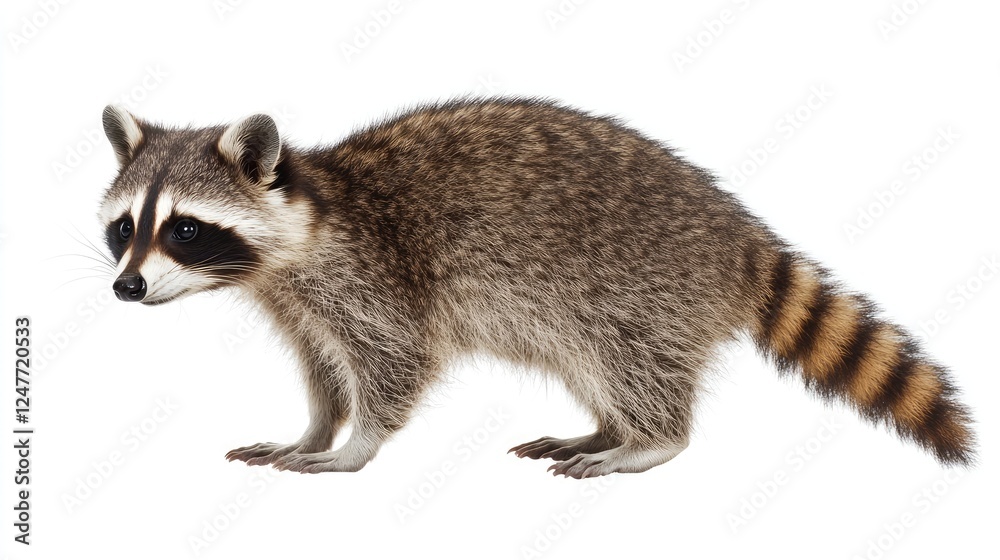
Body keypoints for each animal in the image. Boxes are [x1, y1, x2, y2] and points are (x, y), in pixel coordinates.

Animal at [98, 98, 975, 478]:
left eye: (184, 229)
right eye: (123, 228)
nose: (126, 288)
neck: (305, 221)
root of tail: (737, 234)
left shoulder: (374, 274)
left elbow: (393, 362)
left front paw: (356, 444)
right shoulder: (301, 304)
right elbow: (324, 372)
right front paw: (314, 428)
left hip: (641, 284)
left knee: (630, 359)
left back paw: (649, 439)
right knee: (593, 364)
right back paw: (605, 427)